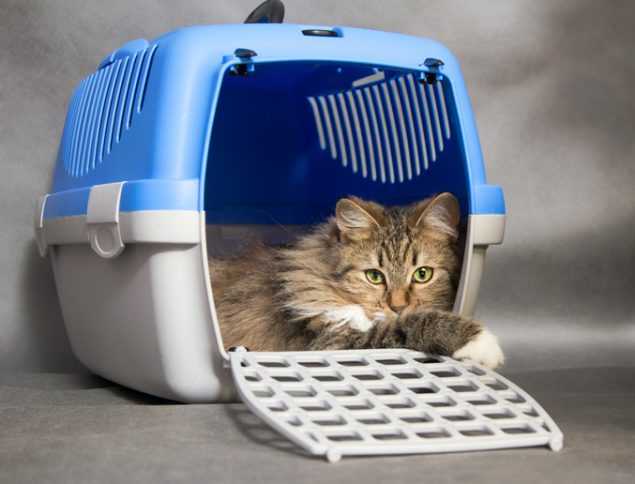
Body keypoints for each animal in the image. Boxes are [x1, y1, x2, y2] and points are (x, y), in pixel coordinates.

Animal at [211, 191, 504, 368]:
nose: (397, 307)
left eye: (423, 274)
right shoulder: (331, 341)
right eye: (374, 276)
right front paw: (484, 344)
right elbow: (406, 325)